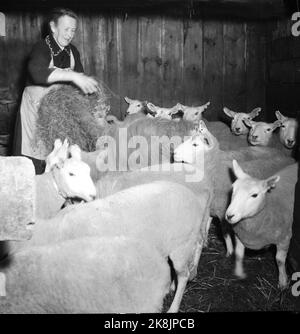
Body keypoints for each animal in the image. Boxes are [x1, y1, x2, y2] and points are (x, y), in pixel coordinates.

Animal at [225, 160, 298, 288]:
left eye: (254, 195)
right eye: (233, 189)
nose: (229, 216)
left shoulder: (284, 238)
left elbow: (279, 260)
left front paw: (283, 282)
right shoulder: (240, 236)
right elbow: (238, 255)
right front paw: (239, 273)